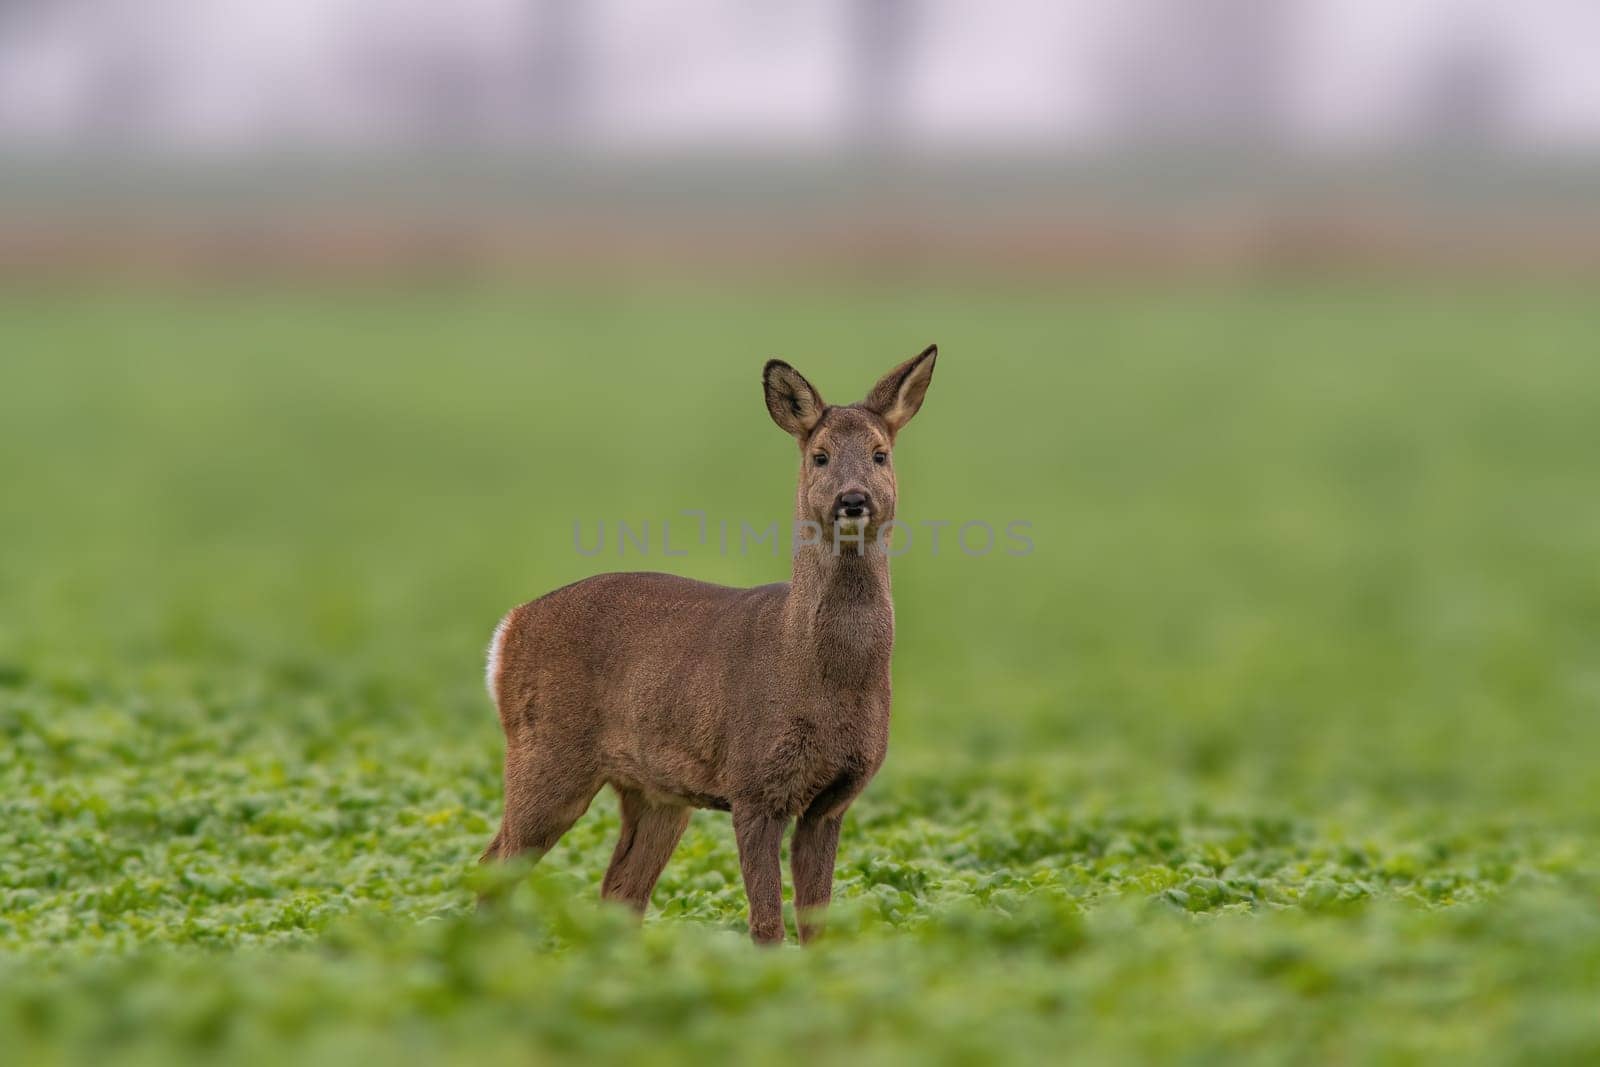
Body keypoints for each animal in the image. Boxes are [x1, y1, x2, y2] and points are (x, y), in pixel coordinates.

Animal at [486, 343, 934, 940]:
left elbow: (814, 922)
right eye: (819, 456)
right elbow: (766, 924)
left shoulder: (832, 800)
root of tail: (509, 628)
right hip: (545, 751)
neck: (819, 677)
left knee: (620, 890)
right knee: (495, 862)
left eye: (881, 454)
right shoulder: (753, 785)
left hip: (654, 792)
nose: (853, 498)